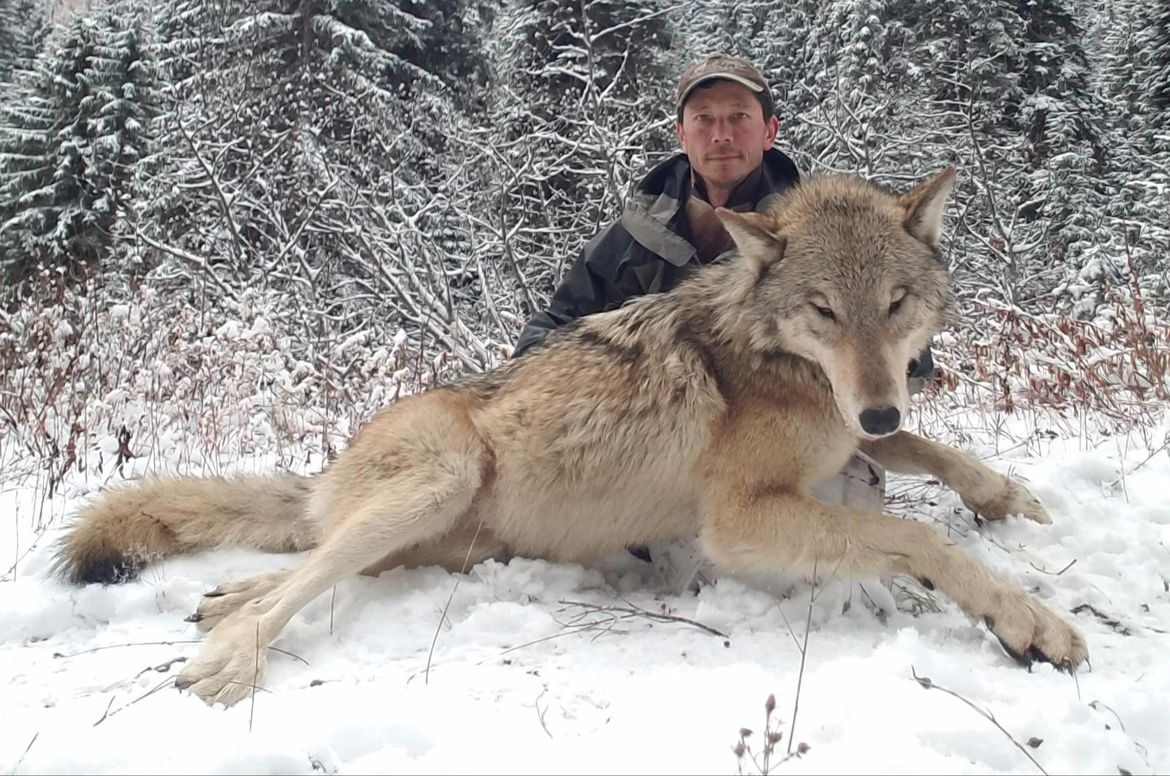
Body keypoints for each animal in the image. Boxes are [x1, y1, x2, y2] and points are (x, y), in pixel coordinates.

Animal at [55, 167, 1087, 707]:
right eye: (827, 311)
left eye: (897, 304)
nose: (878, 407)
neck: (776, 360)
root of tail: (328, 472)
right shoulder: (742, 518)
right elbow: (916, 535)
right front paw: (1031, 622)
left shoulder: (850, 435)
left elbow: (930, 453)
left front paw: (1008, 498)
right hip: (441, 479)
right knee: (299, 582)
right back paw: (226, 659)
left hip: (437, 541)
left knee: (299, 567)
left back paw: (223, 601)